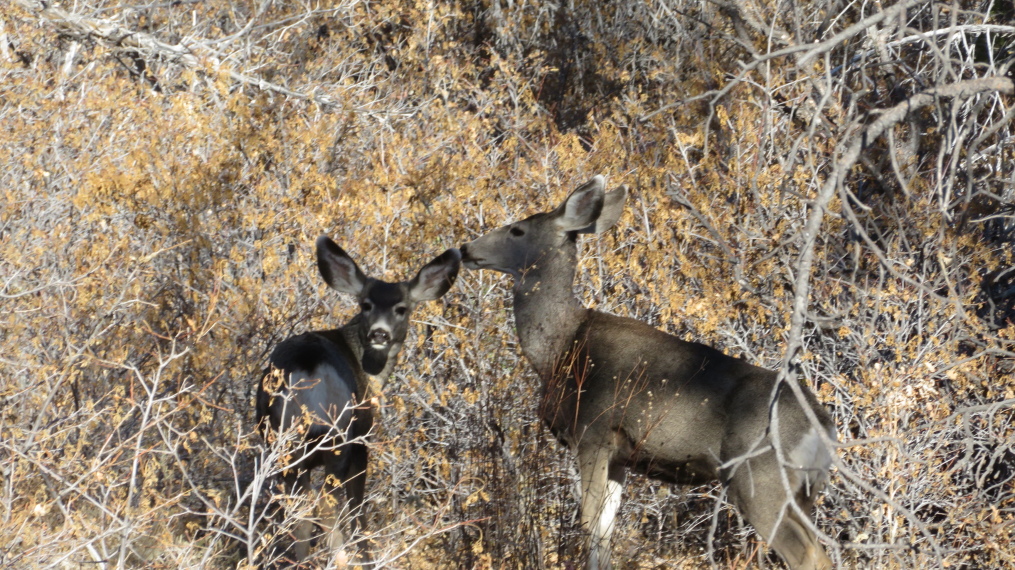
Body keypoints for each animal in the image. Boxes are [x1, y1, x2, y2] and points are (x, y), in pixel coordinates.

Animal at [255, 234, 462, 563]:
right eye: (366, 305)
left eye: (401, 308)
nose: (379, 333)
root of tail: (307, 366)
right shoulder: (362, 440)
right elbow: (357, 508)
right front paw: (367, 556)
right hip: (337, 437)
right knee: (326, 504)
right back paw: (341, 558)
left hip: (281, 442)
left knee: (301, 507)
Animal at [458, 175, 832, 563]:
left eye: (517, 230)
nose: (466, 248)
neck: (559, 348)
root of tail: (822, 426)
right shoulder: (621, 456)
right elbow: (605, 531)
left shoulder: (594, 430)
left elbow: (589, 525)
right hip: (801, 492)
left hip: (760, 477)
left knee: (808, 553)